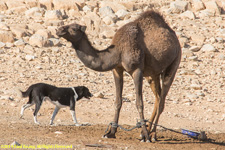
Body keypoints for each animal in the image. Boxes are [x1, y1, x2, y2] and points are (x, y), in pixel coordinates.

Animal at [56, 10, 181, 142]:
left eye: (74, 28)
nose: (59, 30)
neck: (117, 51)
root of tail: (174, 37)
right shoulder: (117, 69)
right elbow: (118, 101)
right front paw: (111, 132)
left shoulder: (137, 70)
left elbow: (139, 103)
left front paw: (146, 136)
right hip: (153, 73)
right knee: (158, 96)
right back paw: (145, 132)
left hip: (175, 62)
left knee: (162, 100)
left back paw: (152, 134)